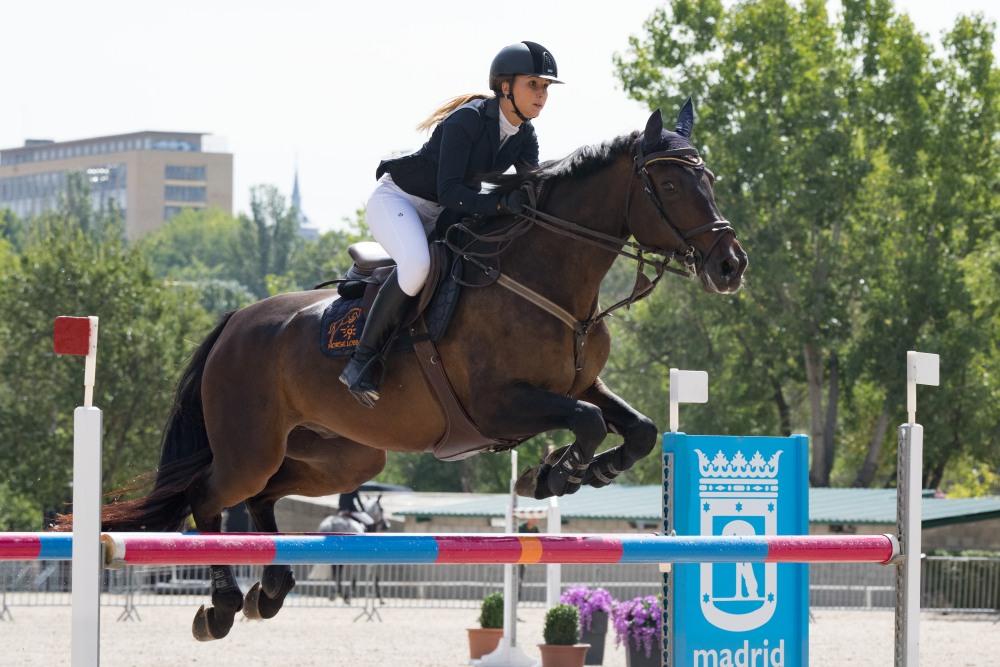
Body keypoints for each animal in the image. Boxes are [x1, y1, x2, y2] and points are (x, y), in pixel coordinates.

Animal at [66, 100, 748, 640]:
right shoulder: (501, 405)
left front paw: (583, 472)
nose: (730, 265)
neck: (546, 276)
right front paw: (553, 475)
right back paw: (225, 605)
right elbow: (585, 423)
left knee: (263, 497)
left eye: (710, 179)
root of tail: (236, 319)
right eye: (672, 186)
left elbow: (638, 430)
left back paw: (271, 590)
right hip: (249, 447)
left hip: (342, 457)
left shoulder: (580, 384)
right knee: (210, 498)